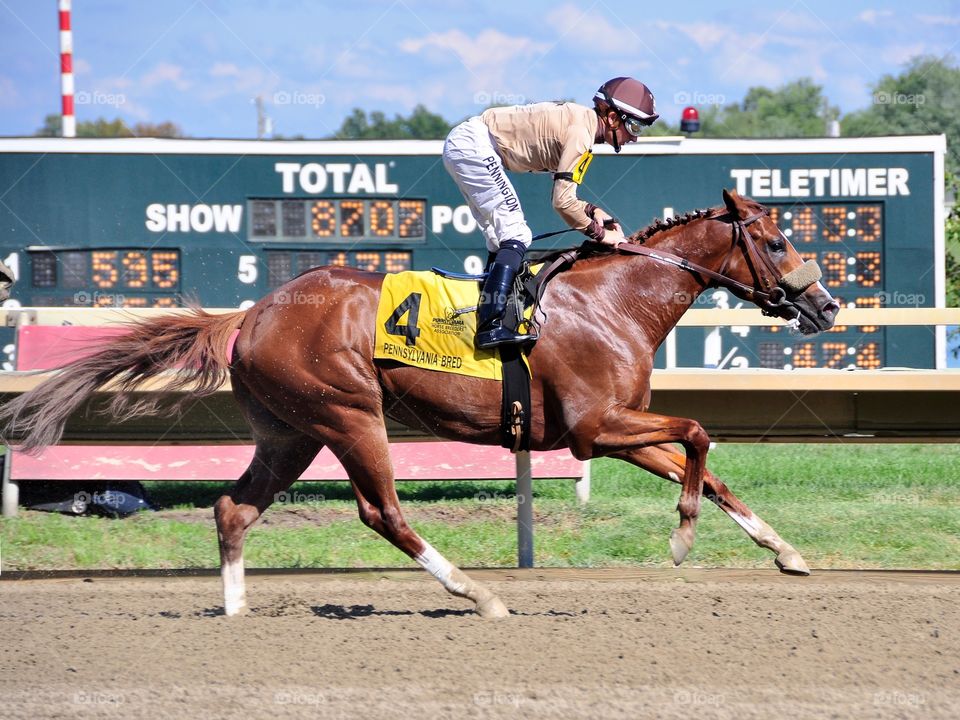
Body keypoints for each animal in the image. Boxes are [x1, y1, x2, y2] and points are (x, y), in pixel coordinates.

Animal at [0, 191, 836, 620]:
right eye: (778, 238)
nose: (824, 305)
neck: (614, 301)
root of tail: (256, 310)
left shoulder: (618, 430)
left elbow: (707, 462)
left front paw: (786, 551)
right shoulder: (593, 427)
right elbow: (698, 433)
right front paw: (682, 538)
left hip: (289, 433)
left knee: (234, 508)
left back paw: (236, 610)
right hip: (348, 416)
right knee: (381, 512)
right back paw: (475, 592)